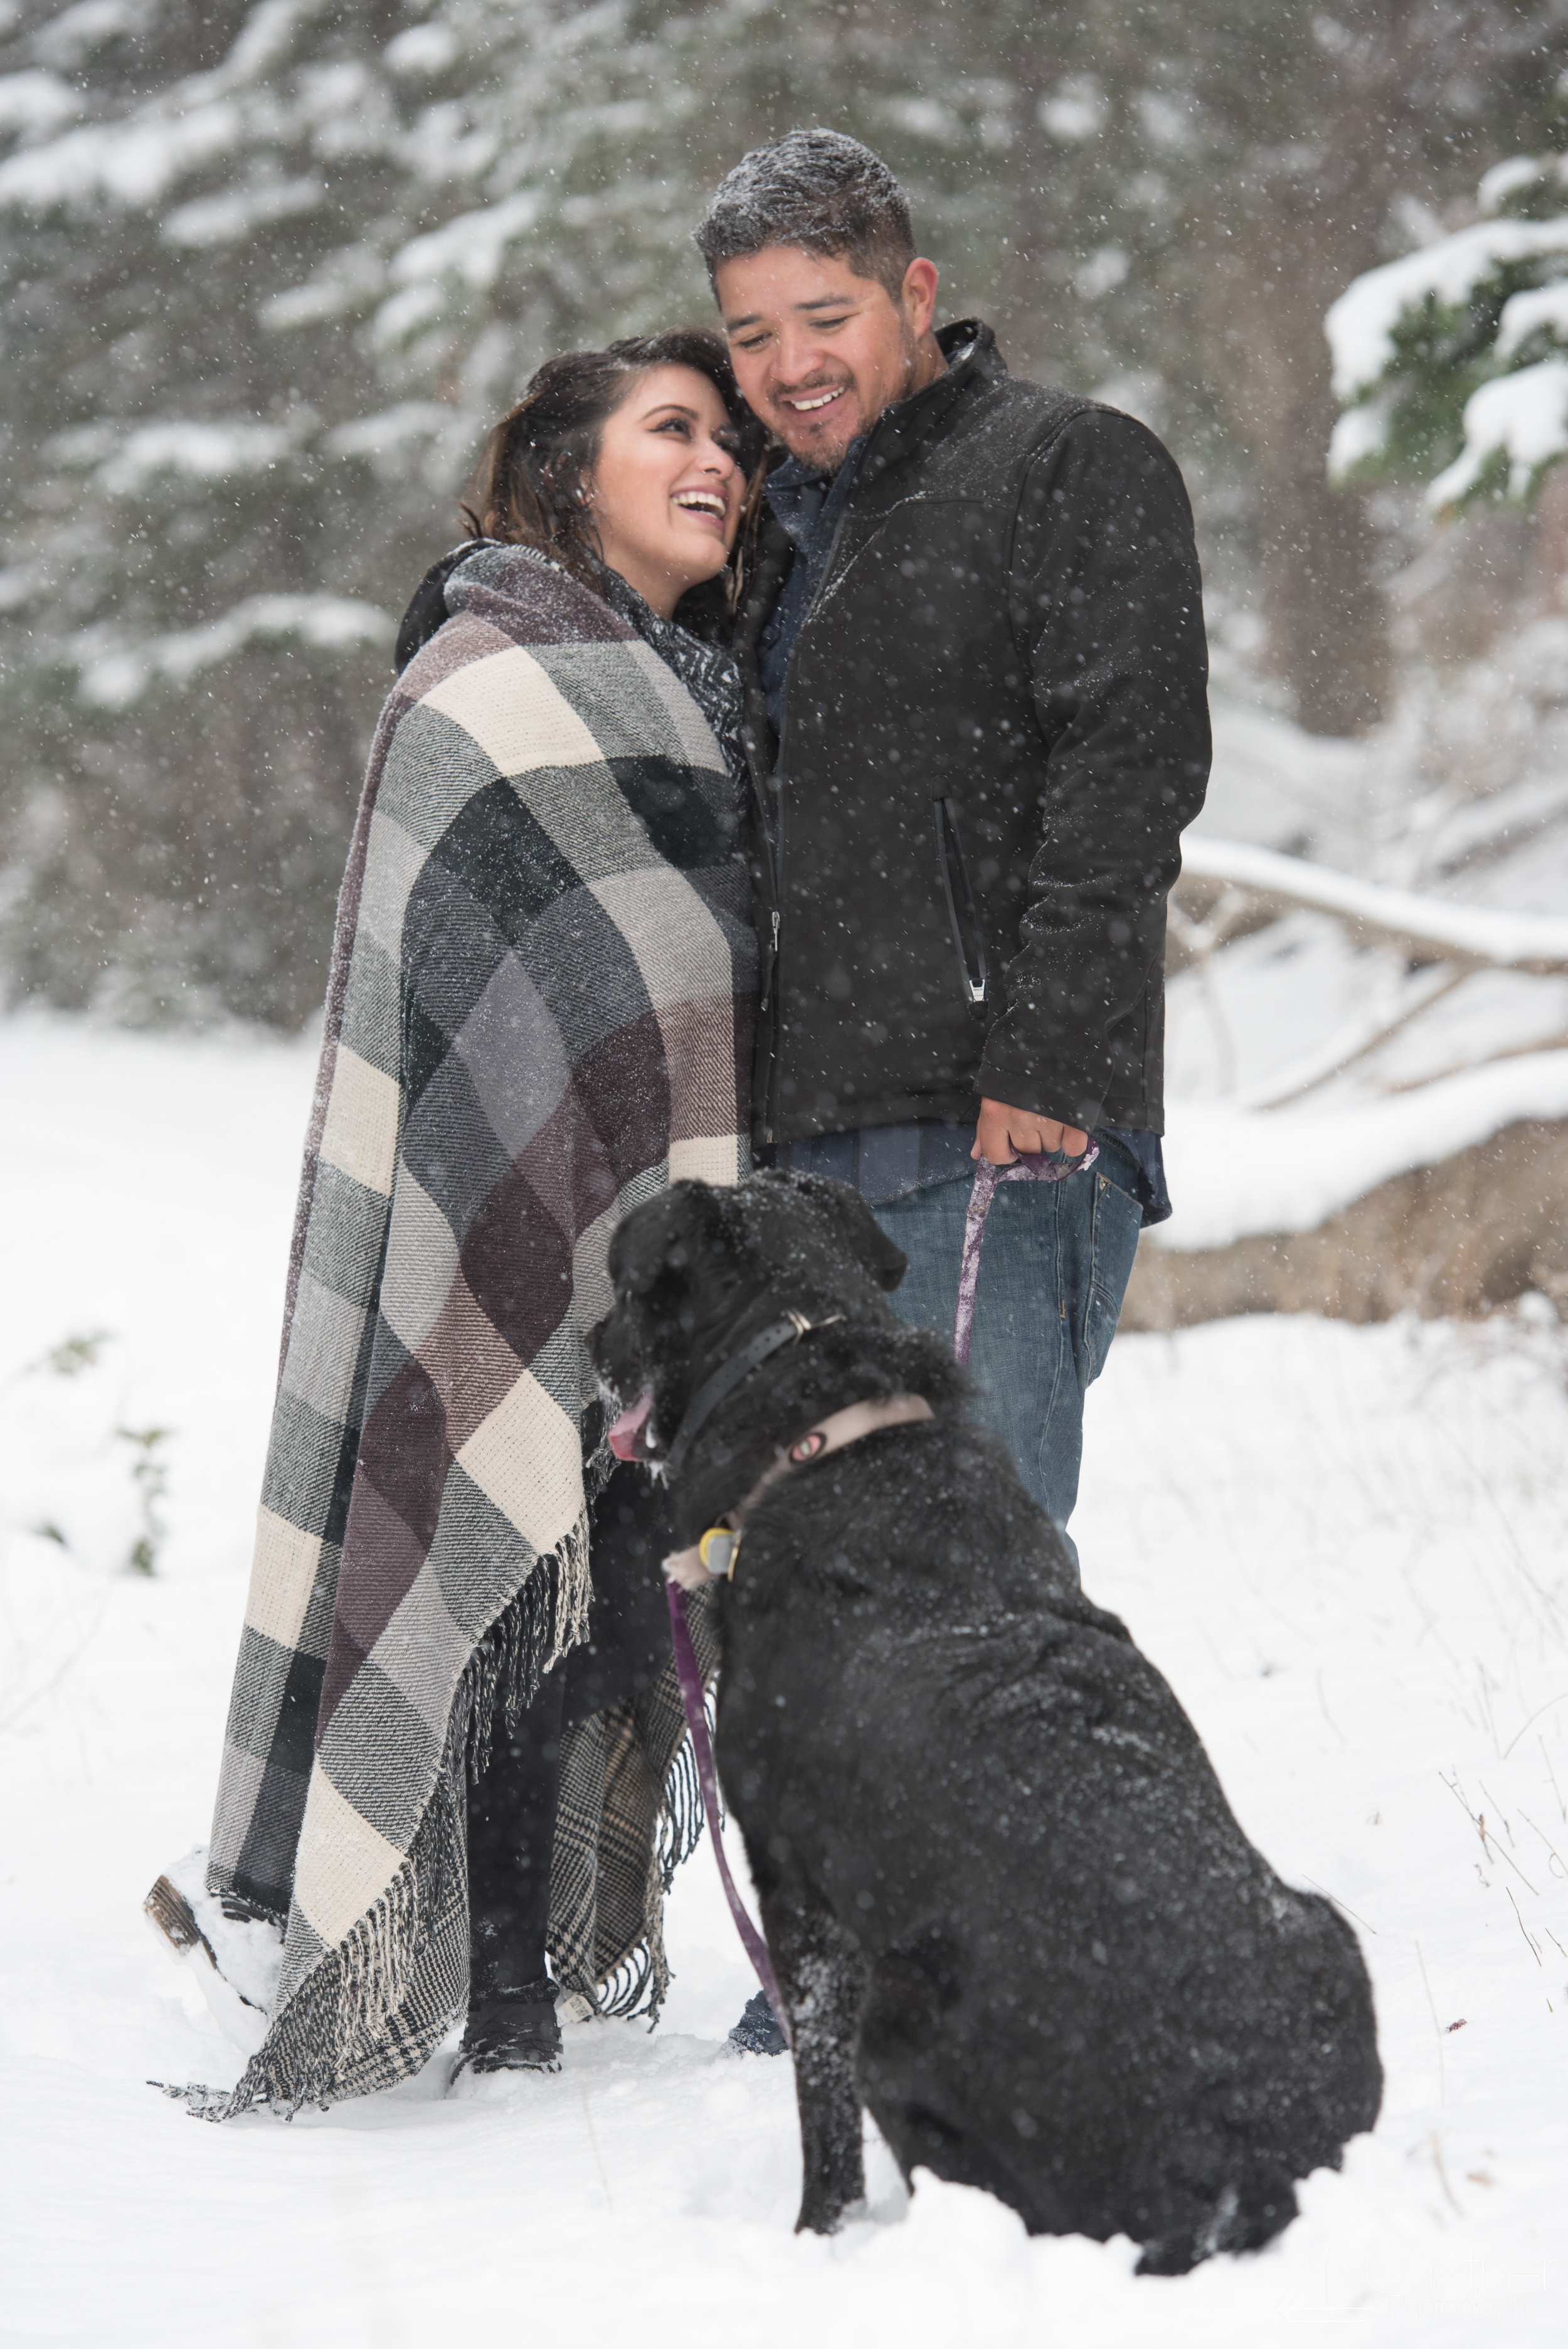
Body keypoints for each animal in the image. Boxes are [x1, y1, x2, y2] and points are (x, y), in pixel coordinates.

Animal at [591, 1174, 1380, 2274]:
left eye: (627, 1289)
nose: (588, 1343)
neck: (826, 1436)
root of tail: (1242, 2167)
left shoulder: (797, 1893)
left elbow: (821, 2113)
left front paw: (815, 2237)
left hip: (896, 2025)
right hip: (1327, 1926)